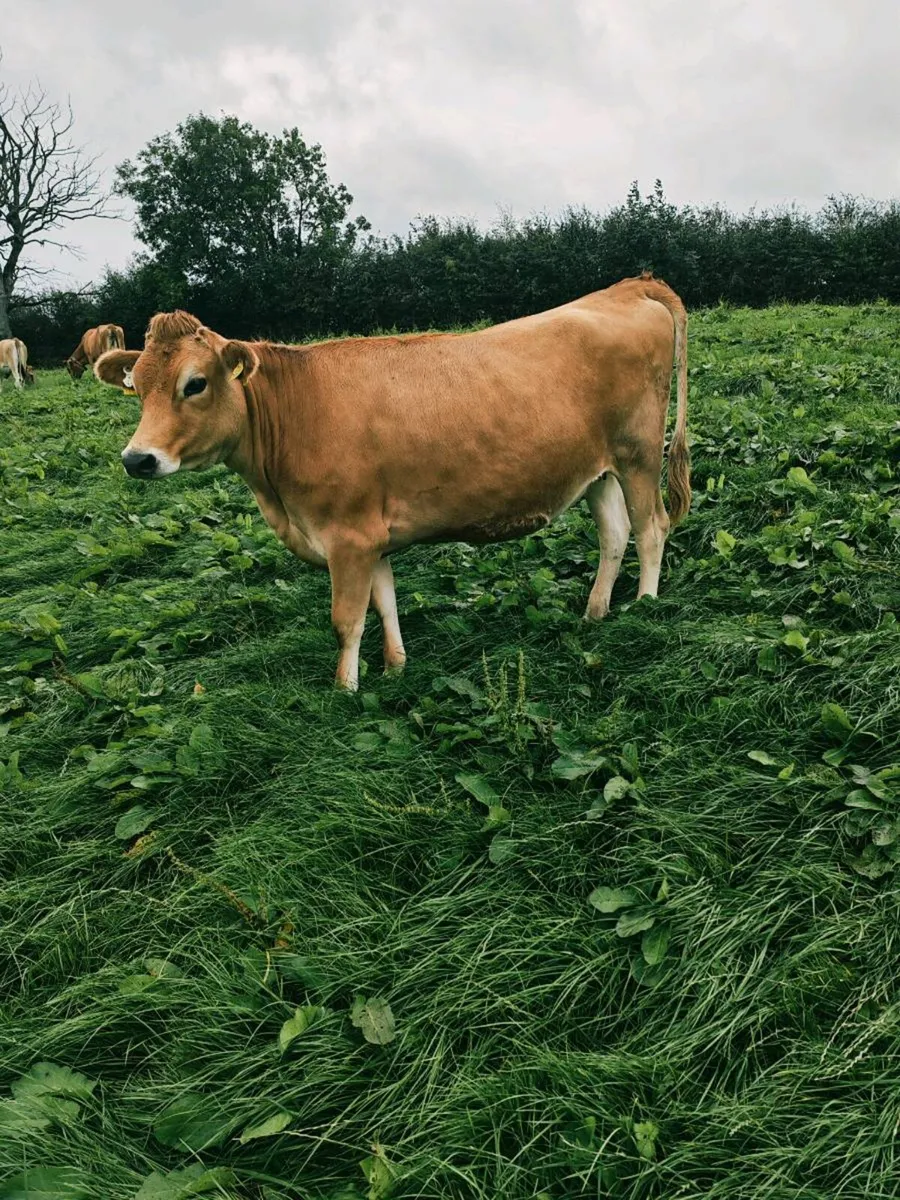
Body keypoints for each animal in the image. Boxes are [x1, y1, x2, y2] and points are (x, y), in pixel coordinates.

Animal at [94, 273, 690, 691]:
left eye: (195, 384)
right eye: (135, 385)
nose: (137, 459)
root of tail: (626, 287)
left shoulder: (347, 537)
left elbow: (346, 620)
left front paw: (345, 690)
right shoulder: (369, 537)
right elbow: (383, 604)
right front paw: (395, 667)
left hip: (638, 453)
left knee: (652, 528)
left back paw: (644, 607)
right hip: (597, 470)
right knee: (614, 534)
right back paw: (594, 613)